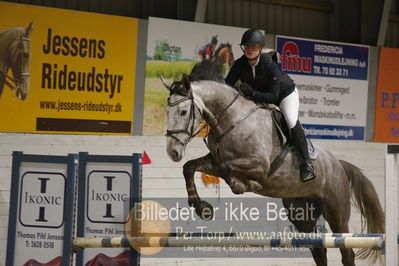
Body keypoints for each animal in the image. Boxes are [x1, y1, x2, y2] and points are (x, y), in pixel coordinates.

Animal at [162, 60, 384, 266]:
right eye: (166, 112)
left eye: (183, 111)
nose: (173, 152)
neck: (232, 120)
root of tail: (338, 164)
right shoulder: (214, 160)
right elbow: (190, 167)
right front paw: (202, 208)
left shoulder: (259, 166)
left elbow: (227, 169)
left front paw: (244, 185)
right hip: (302, 213)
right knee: (319, 250)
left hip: (336, 210)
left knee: (347, 251)